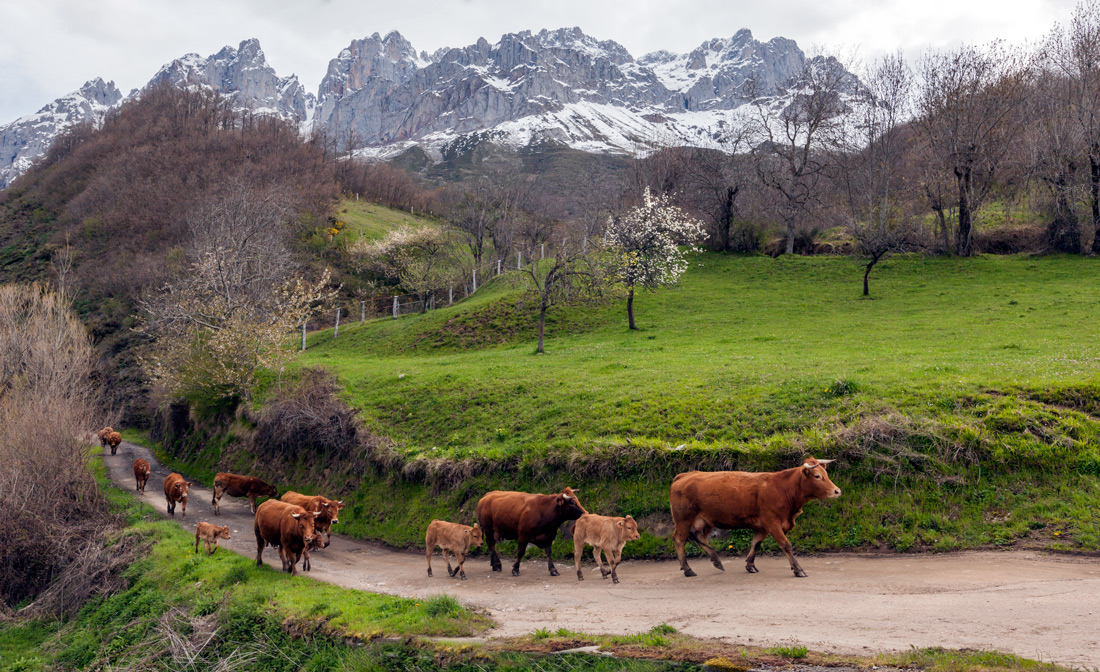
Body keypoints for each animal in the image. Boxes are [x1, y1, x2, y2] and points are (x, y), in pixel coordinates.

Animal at [668, 457, 840, 576]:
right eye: (817, 476)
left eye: (826, 474)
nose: (837, 491)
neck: (783, 488)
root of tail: (684, 475)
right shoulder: (772, 523)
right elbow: (786, 545)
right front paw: (798, 569)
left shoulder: (763, 525)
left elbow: (756, 543)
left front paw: (750, 565)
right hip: (683, 519)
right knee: (679, 539)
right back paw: (688, 569)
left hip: (706, 519)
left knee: (699, 536)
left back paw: (716, 561)